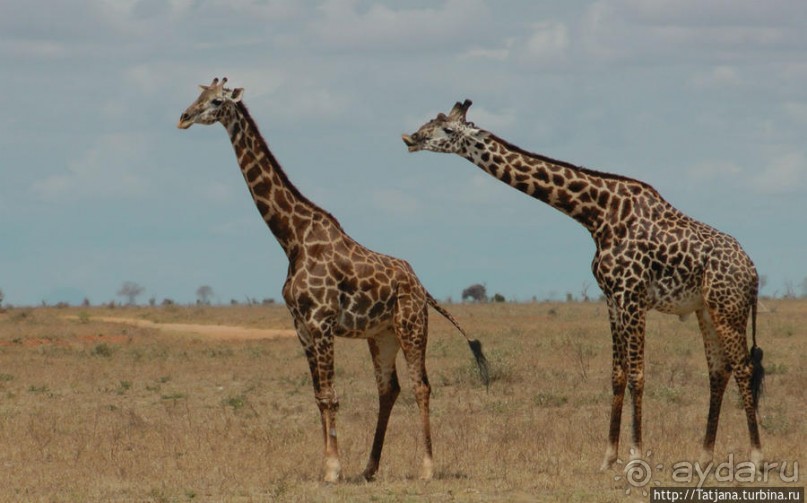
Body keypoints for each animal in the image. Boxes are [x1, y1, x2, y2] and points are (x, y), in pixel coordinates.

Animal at [177, 79, 490, 484]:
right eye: (198, 95)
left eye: (216, 101)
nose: (184, 117)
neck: (292, 238)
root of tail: (423, 288)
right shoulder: (301, 326)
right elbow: (319, 396)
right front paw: (331, 465)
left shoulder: (322, 321)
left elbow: (331, 395)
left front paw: (332, 469)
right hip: (382, 335)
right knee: (389, 389)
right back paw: (370, 468)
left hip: (411, 325)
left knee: (421, 385)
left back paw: (426, 467)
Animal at [402, 99, 764, 472]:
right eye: (429, 122)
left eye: (447, 130)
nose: (411, 138)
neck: (597, 215)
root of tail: (752, 272)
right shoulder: (612, 298)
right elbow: (618, 374)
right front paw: (608, 457)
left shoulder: (632, 295)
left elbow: (638, 375)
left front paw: (635, 456)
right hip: (706, 310)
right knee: (719, 371)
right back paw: (704, 457)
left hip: (728, 308)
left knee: (743, 368)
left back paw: (755, 457)